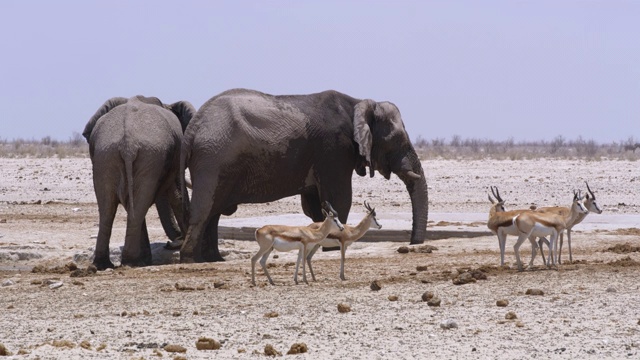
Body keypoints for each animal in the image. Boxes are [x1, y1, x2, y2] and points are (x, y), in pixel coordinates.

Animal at [84, 94, 196, 268]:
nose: (171, 244)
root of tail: (127, 144)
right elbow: (176, 194)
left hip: (107, 155)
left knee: (110, 207)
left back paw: (104, 264)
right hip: (145, 155)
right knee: (135, 203)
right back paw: (132, 261)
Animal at [179, 88, 430, 262]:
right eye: (397, 140)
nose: (412, 243)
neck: (358, 103)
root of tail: (192, 128)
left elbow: (315, 205)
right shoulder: (334, 150)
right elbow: (339, 199)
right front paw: (333, 247)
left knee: (214, 211)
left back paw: (214, 259)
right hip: (213, 158)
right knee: (204, 210)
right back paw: (192, 260)